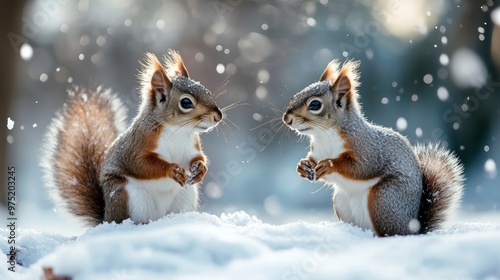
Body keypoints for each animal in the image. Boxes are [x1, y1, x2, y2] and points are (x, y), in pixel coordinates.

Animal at [42, 49, 222, 225]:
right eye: (186, 102)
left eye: (207, 92)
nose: (218, 116)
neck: (178, 130)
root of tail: (106, 217)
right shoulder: (138, 143)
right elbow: (139, 163)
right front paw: (172, 169)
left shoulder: (192, 147)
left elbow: (198, 157)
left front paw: (200, 169)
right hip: (128, 195)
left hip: (185, 196)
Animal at [284, 59, 462, 236]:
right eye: (294, 96)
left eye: (315, 104)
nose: (286, 118)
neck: (324, 135)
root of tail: (414, 228)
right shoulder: (317, 151)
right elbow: (313, 162)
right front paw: (302, 166)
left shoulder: (367, 148)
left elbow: (362, 167)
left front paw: (330, 165)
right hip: (341, 202)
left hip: (383, 198)